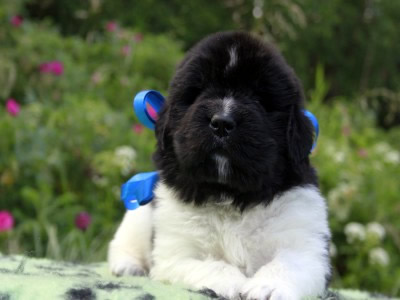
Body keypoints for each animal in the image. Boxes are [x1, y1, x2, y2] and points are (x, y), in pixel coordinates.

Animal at [108, 32, 330, 300]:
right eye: (198, 93)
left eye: (258, 99)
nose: (222, 122)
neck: (230, 195)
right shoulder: (176, 254)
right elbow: (212, 264)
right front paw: (232, 282)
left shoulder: (306, 247)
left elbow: (287, 264)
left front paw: (268, 287)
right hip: (139, 215)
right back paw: (128, 265)